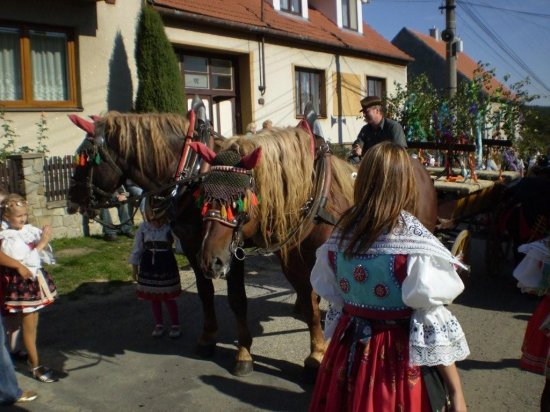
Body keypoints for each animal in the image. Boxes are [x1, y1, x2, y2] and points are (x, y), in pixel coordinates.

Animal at [192, 130, 438, 378]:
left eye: (238, 199)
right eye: (203, 196)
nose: (209, 261)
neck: (314, 200)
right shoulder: (295, 268)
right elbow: (310, 307)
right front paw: (316, 352)